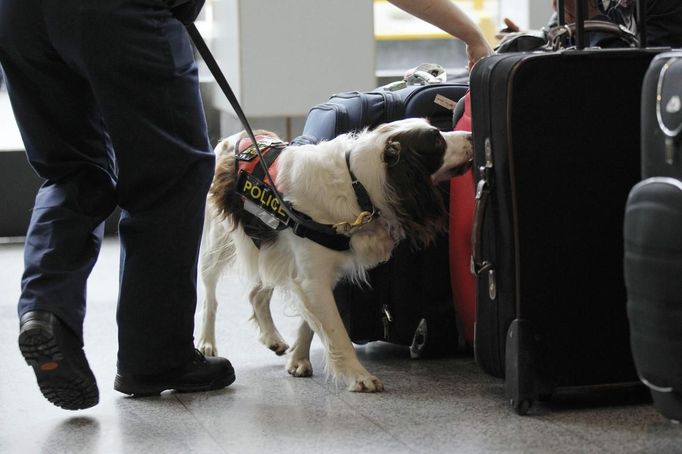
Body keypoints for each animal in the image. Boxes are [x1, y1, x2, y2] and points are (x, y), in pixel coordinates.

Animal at [198, 119, 472, 392]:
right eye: (436, 140)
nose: (471, 135)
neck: (358, 186)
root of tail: (234, 138)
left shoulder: (315, 275)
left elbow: (310, 322)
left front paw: (299, 359)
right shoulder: (313, 278)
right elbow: (336, 331)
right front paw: (359, 376)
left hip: (273, 251)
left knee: (257, 294)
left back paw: (272, 337)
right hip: (215, 245)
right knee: (210, 298)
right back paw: (207, 344)